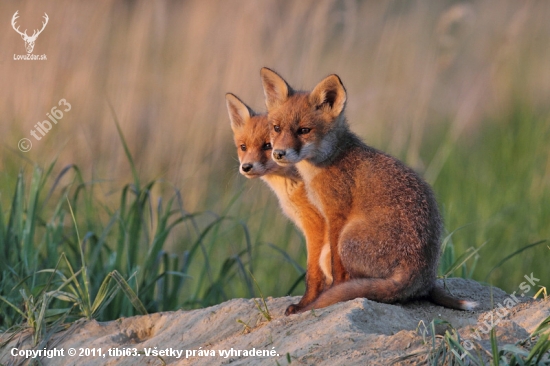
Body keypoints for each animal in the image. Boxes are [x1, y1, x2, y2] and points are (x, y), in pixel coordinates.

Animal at [225, 93, 336, 314]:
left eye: (268, 146)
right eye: (243, 147)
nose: (246, 167)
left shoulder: (315, 225)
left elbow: (313, 272)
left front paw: (306, 303)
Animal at [260, 68, 476, 312]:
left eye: (304, 130)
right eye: (276, 128)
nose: (278, 153)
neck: (327, 161)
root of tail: (421, 273)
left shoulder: (336, 214)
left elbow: (335, 269)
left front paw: (324, 295)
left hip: (347, 239)